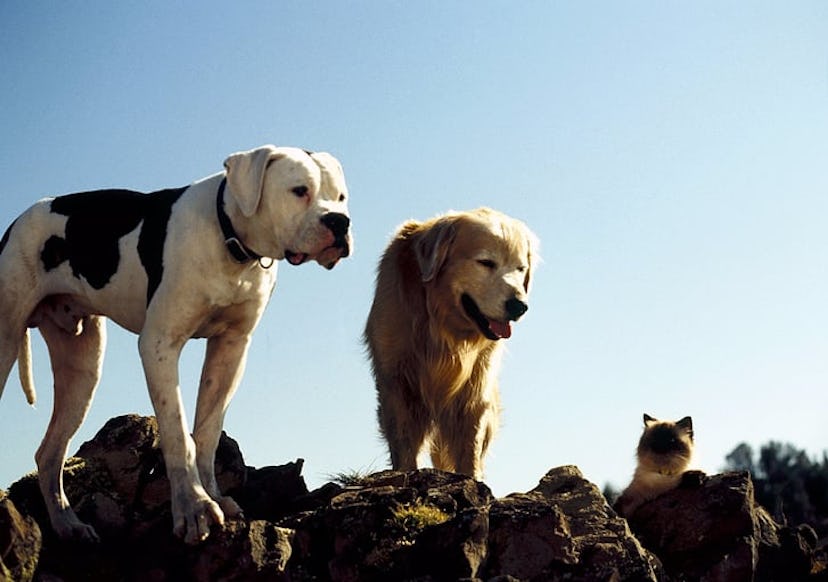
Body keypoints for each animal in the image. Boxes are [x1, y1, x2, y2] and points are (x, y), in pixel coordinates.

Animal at [0, 144, 352, 544]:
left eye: (341, 197)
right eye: (299, 190)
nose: (340, 222)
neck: (230, 240)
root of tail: (18, 220)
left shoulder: (231, 349)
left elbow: (207, 431)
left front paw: (214, 497)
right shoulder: (160, 344)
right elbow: (177, 431)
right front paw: (194, 509)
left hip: (82, 368)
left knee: (49, 453)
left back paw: (67, 525)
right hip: (6, 341)